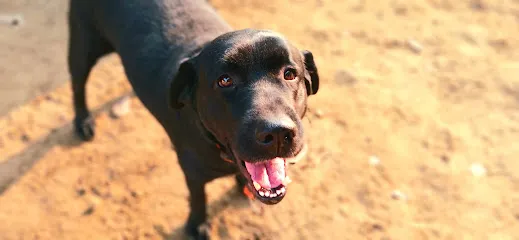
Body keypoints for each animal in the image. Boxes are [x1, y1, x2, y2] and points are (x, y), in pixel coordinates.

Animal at [67, 0, 318, 238]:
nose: (277, 133)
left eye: (289, 74)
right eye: (225, 80)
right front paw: (197, 225)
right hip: (83, 46)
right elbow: (198, 198)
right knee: (78, 85)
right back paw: (83, 121)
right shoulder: (192, 172)